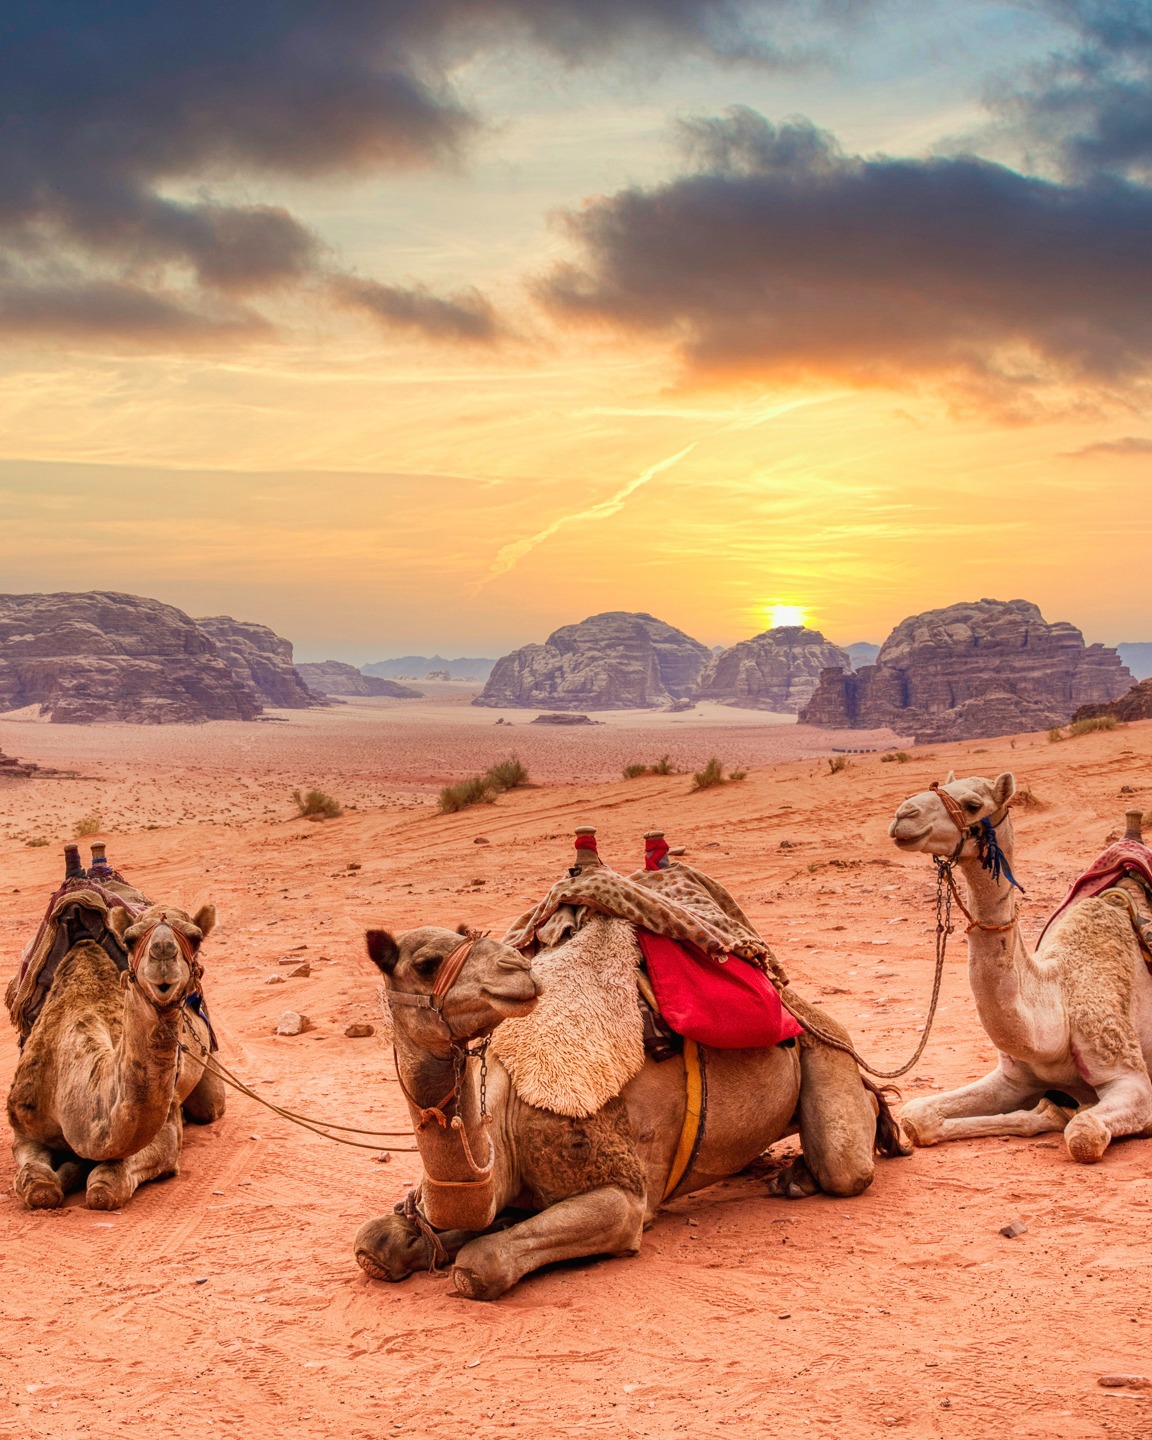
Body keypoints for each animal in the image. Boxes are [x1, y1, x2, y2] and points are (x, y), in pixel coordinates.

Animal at [8, 902, 225, 1210]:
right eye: (130, 939)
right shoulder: (24, 1128)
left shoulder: (166, 1132)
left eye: (196, 938)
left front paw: (80, 1171)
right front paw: (59, 1176)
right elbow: (36, 1183)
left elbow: (107, 1185)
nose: (162, 952)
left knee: (210, 1106)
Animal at [353, 921, 906, 1301]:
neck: (504, 1125)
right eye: (427, 962)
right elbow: (375, 1241)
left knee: (846, 1161)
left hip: (822, 1045)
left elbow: (481, 1262)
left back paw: (804, 1175)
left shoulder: (621, 1193)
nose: (516, 968)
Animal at [890, 771, 1152, 1162]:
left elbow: (1084, 1133)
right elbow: (916, 1115)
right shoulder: (1015, 1077)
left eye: (973, 805)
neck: (1058, 1003)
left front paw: (1062, 1113)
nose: (903, 815)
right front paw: (1051, 1110)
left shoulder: (1130, 1078)